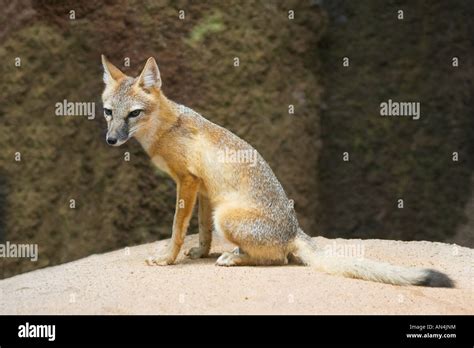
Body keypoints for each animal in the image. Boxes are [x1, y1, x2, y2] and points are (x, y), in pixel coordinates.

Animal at [100, 55, 452, 288]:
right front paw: (200, 252)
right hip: (220, 209)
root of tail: (294, 229)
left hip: (226, 215)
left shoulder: (186, 182)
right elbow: (202, 231)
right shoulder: (203, 188)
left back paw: (235, 257)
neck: (164, 129)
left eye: (133, 114)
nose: (111, 140)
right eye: (108, 112)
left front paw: (167, 259)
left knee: (277, 259)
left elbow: (176, 229)